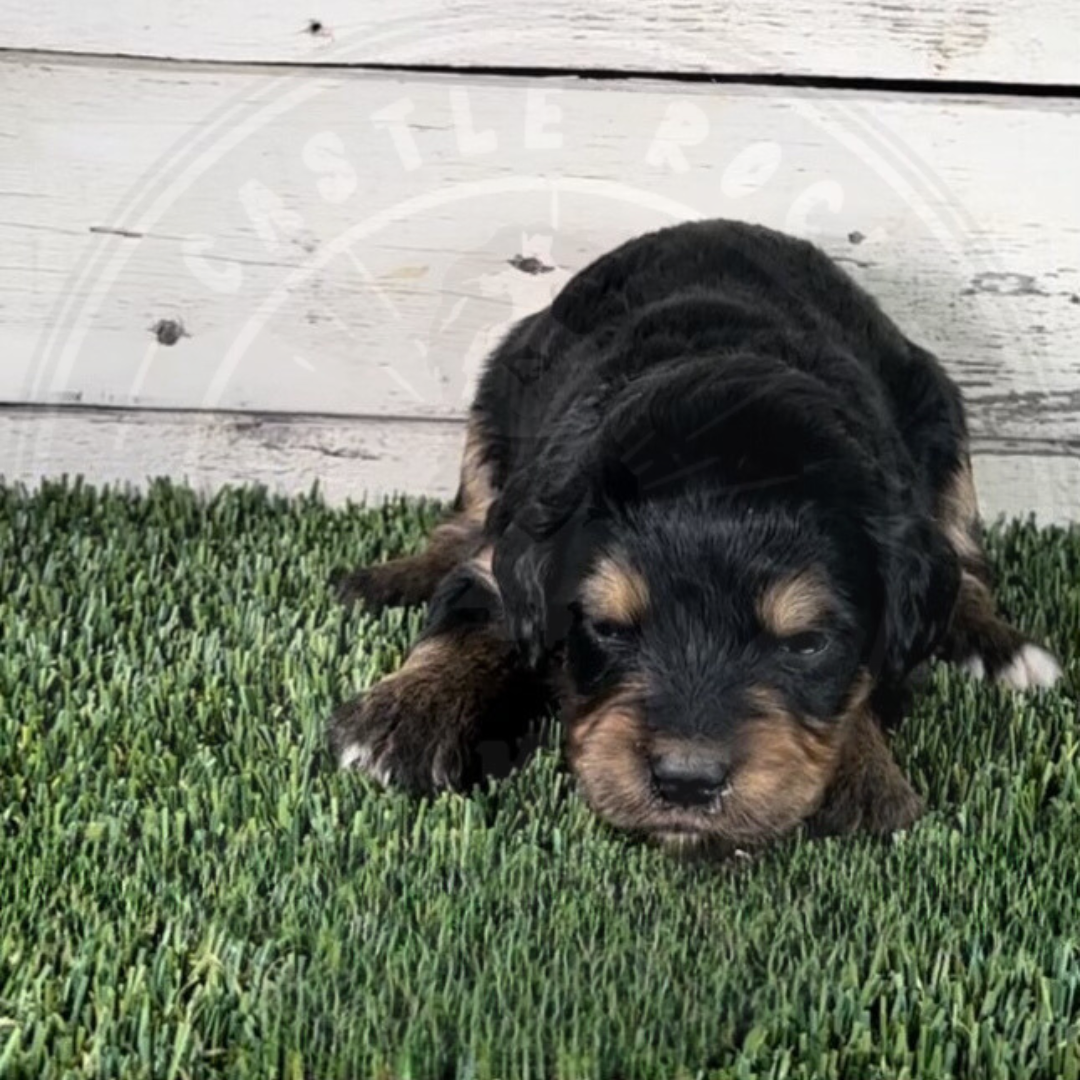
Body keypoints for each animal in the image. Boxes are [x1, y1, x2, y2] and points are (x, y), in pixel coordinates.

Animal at [328, 219, 1062, 851]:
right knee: (459, 521)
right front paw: (403, 721)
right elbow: (478, 611)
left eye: (806, 643)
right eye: (608, 628)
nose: (686, 782)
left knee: (966, 563)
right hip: (498, 398)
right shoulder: (519, 534)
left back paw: (1000, 649)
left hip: (941, 414)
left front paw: (866, 785)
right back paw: (380, 580)